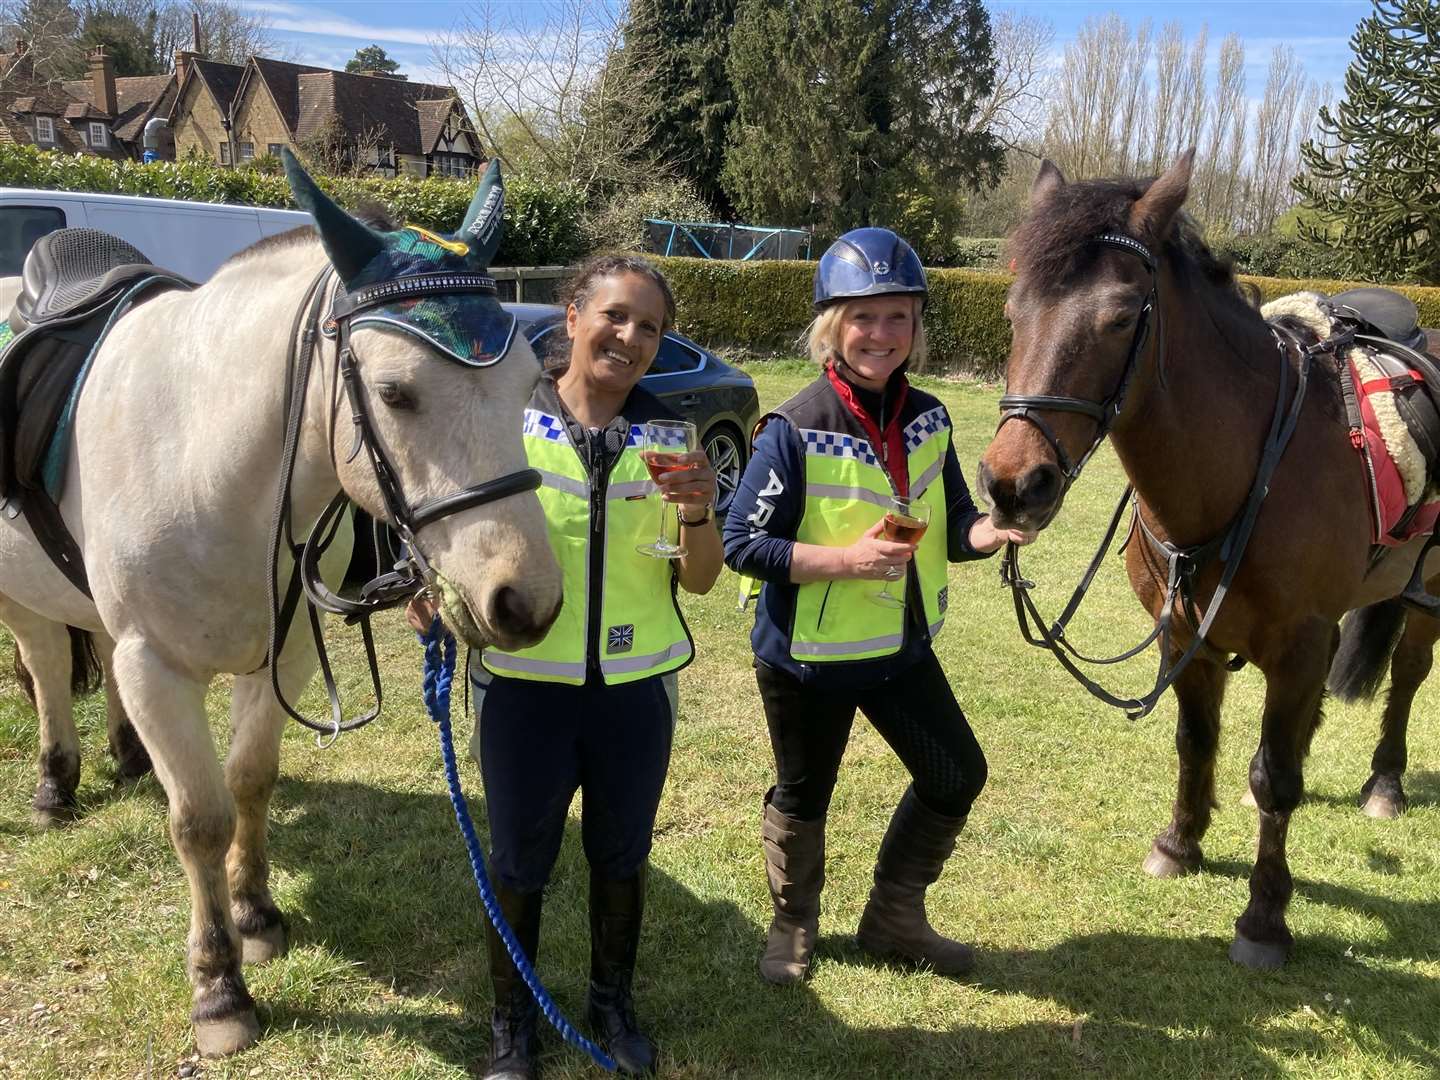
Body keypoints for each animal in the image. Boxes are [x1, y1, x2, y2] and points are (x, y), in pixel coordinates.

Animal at [0, 152, 561, 1059]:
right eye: (396, 394)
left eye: (526, 385)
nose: (526, 600)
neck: (204, 460)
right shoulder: (157, 666)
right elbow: (199, 819)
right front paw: (219, 989)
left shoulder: (283, 651)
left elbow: (250, 782)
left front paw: (256, 915)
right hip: (19, 593)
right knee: (47, 666)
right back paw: (56, 785)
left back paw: (127, 754)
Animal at [979, 152, 1440, 973]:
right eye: (1011, 311)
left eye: (1121, 316)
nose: (1012, 485)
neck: (1244, 468)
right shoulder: (1182, 635)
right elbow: (1197, 742)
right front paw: (1180, 843)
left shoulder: (1300, 645)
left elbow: (1276, 777)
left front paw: (1264, 916)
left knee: (1410, 674)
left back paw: (1385, 781)